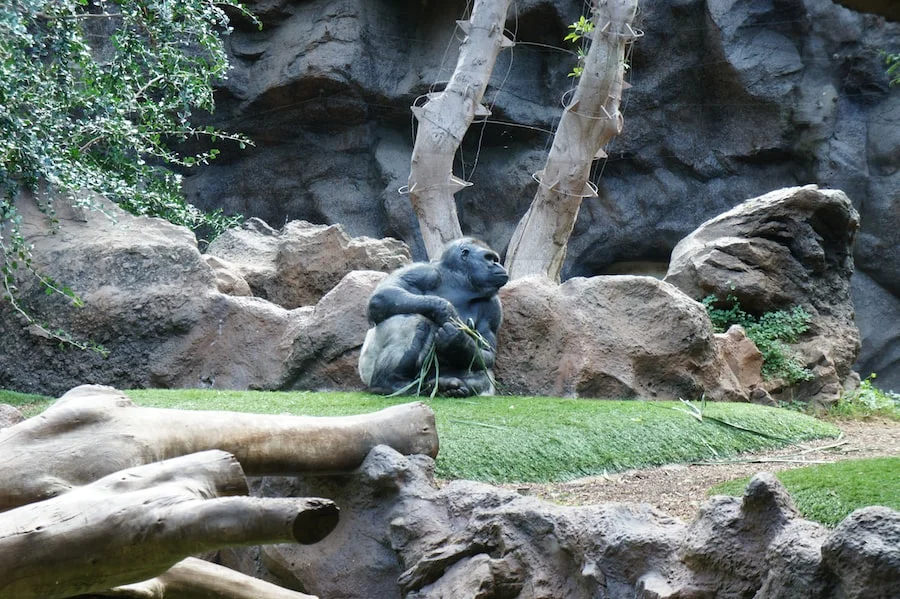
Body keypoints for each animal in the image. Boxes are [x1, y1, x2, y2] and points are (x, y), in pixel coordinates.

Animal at [360, 238, 512, 398]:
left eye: (495, 259)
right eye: (489, 258)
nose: (498, 265)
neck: (459, 282)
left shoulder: (492, 306)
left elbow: (487, 352)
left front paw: (458, 341)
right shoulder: (423, 271)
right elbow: (383, 294)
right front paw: (445, 310)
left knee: (482, 376)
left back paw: (448, 386)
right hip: (366, 368)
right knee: (414, 318)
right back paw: (388, 383)